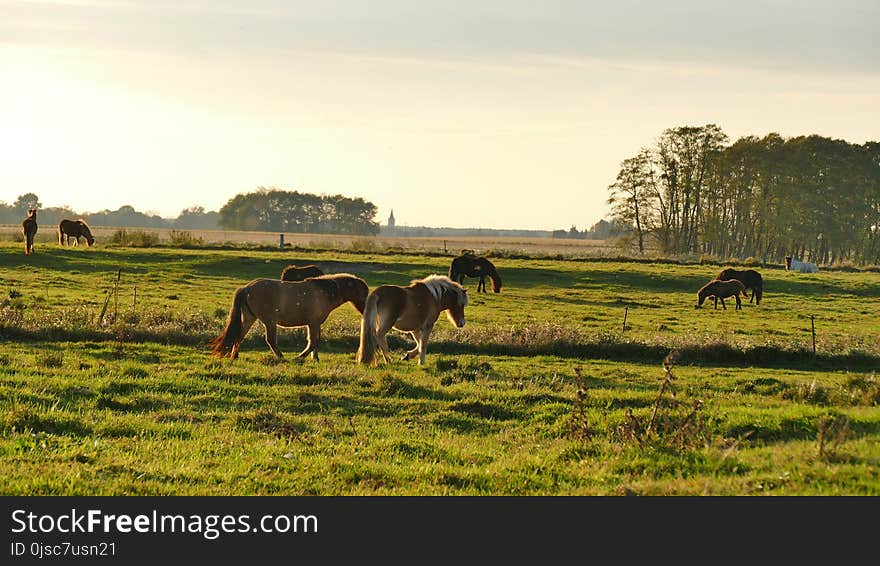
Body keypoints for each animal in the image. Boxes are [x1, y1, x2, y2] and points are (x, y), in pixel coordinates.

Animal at [211, 272, 370, 362]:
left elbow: (314, 342)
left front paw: (315, 358)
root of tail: (247, 288)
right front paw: (300, 357)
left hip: (250, 318)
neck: (324, 293)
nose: (366, 310)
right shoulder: (313, 323)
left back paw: (234, 356)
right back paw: (282, 357)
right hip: (269, 322)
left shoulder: (314, 324)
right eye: (364, 293)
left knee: (239, 335)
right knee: (270, 340)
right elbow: (313, 342)